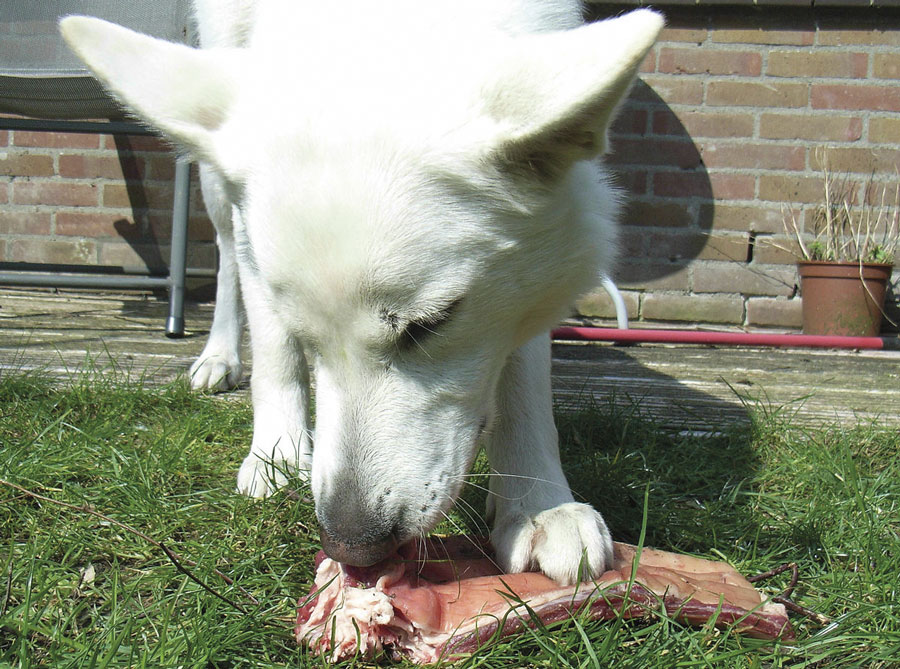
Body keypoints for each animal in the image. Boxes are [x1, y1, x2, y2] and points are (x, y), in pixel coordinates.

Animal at [59, 0, 656, 584]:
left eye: (431, 323)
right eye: (307, 336)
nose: (351, 546)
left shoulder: (530, 266)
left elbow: (523, 381)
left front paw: (537, 505)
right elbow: (275, 350)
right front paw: (276, 454)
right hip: (213, 177)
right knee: (228, 260)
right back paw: (220, 356)